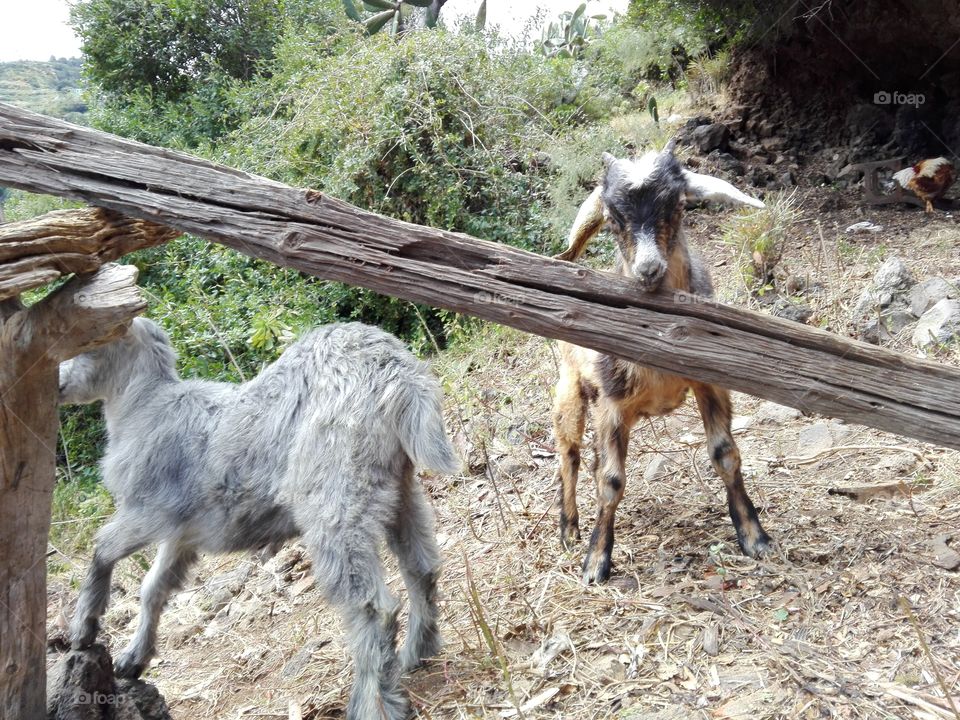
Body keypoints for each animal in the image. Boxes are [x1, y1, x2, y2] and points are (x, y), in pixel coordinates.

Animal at [59, 317, 459, 720]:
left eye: (87, 343)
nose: (58, 381)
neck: (143, 408)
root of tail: (399, 373)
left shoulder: (148, 512)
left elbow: (103, 548)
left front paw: (83, 629)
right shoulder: (183, 533)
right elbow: (153, 588)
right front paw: (133, 659)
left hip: (334, 498)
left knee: (373, 606)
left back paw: (371, 702)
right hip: (398, 488)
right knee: (421, 568)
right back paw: (417, 653)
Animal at [552, 142, 771, 584]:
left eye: (679, 205)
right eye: (613, 219)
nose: (648, 269)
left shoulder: (711, 384)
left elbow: (725, 454)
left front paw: (753, 536)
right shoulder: (611, 405)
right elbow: (611, 481)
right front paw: (595, 561)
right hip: (571, 389)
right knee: (569, 451)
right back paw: (569, 529)